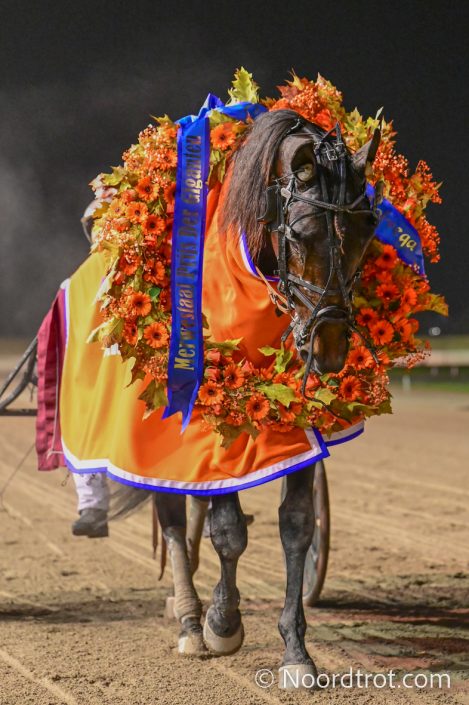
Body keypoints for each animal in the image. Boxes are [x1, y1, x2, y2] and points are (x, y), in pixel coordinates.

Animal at [121, 108, 382, 686]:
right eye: (302, 234)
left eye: (367, 232)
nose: (330, 345)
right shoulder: (220, 416)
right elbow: (228, 529)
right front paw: (222, 622)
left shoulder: (296, 418)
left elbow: (297, 526)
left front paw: (296, 650)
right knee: (174, 514)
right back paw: (189, 620)